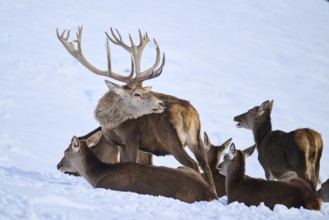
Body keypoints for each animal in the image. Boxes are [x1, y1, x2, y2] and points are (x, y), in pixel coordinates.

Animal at [56, 26, 215, 192]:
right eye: (138, 93)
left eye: (145, 91)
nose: (161, 104)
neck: (108, 123)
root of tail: (189, 114)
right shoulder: (126, 145)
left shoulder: (131, 137)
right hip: (196, 139)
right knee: (206, 168)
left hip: (171, 139)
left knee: (193, 164)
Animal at [57, 137, 218, 204]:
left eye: (65, 153)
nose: (58, 165)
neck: (97, 176)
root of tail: (211, 193)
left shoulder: (106, 186)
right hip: (185, 169)